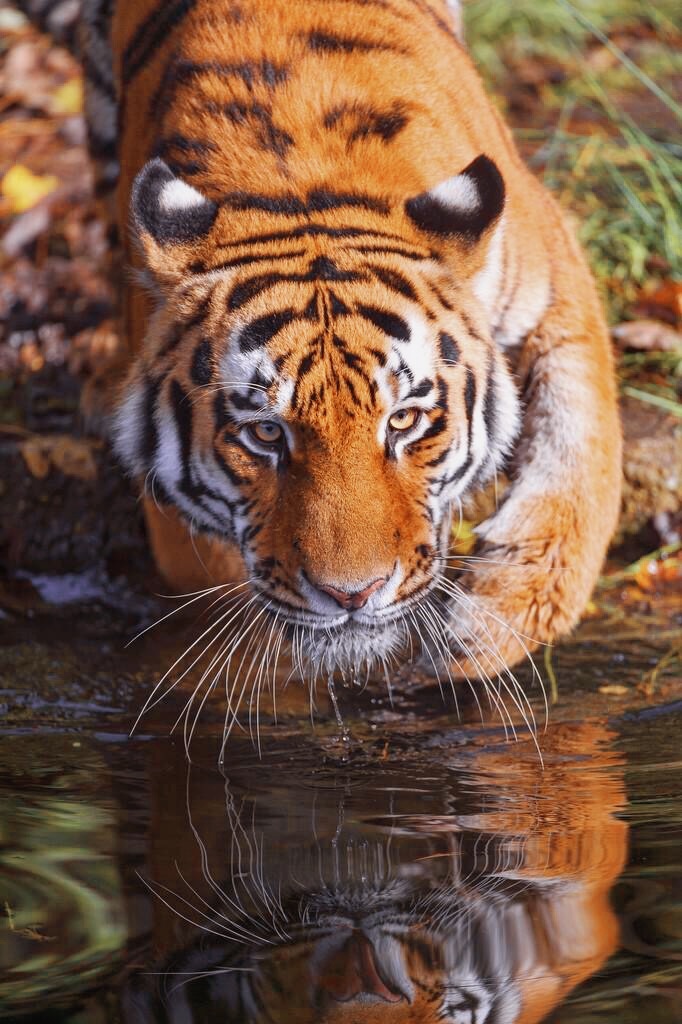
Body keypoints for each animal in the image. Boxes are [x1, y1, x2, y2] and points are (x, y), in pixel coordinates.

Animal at [20, 0, 622, 687]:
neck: (300, 187)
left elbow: (583, 448)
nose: (353, 595)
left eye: (404, 421)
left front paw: (492, 622)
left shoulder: (552, 276)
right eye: (264, 433)